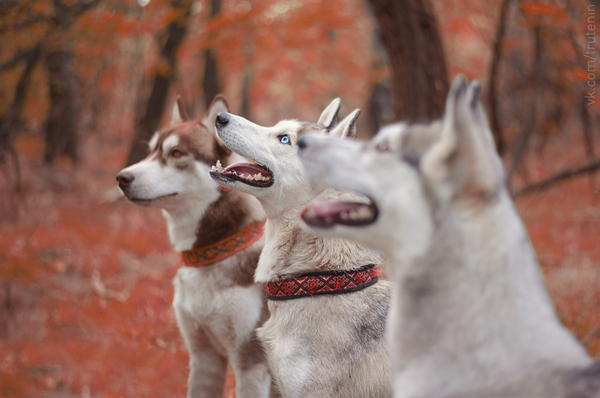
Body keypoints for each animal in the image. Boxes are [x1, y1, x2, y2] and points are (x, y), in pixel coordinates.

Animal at [116, 96, 270, 398]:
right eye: (150, 151)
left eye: (176, 153)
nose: (122, 178)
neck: (214, 253)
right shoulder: (204, 357)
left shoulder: (252, 365)